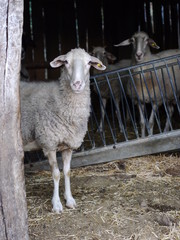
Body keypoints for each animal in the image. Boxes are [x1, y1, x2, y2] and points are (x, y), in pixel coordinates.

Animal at [20, 47, 106, 213]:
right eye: (66, 62)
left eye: (89, 63)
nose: (77, 84)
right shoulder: (49, 143)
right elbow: (55, 174)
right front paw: (57, 204)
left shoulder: (68, 146)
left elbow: (67, 172)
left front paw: (70, 199)